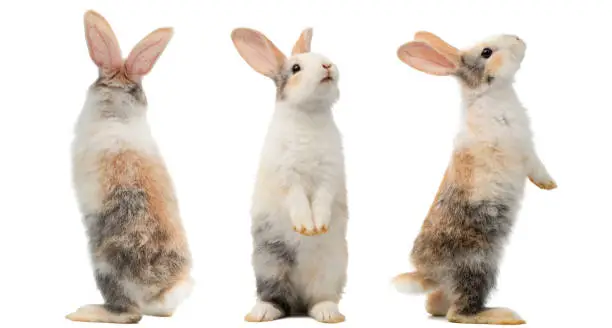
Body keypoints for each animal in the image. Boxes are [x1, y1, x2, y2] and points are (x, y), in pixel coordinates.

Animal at [232, 27, 350, 322]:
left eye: (320, 56)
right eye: (295, 68)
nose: (327, 65)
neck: (310, 115)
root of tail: (298, 302)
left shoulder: (329, 175)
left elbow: (322, 199)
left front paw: (319, 226)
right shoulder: (287, 175)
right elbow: (297, 199)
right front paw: (306, 228)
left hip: (331, 270)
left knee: (318, 300)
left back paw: (328, 313)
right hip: (269, 263)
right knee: (275, 297)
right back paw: (260, 313)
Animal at [392, 31, 556, 326]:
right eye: (486, 52)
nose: (518, 38)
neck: (490, 94)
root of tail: (428, 273)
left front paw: (551, 185)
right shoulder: (523, 150)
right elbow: (535, 166)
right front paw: (549, 184)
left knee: (435, 305)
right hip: (478, 265)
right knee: (458, 312)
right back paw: (505, 315)